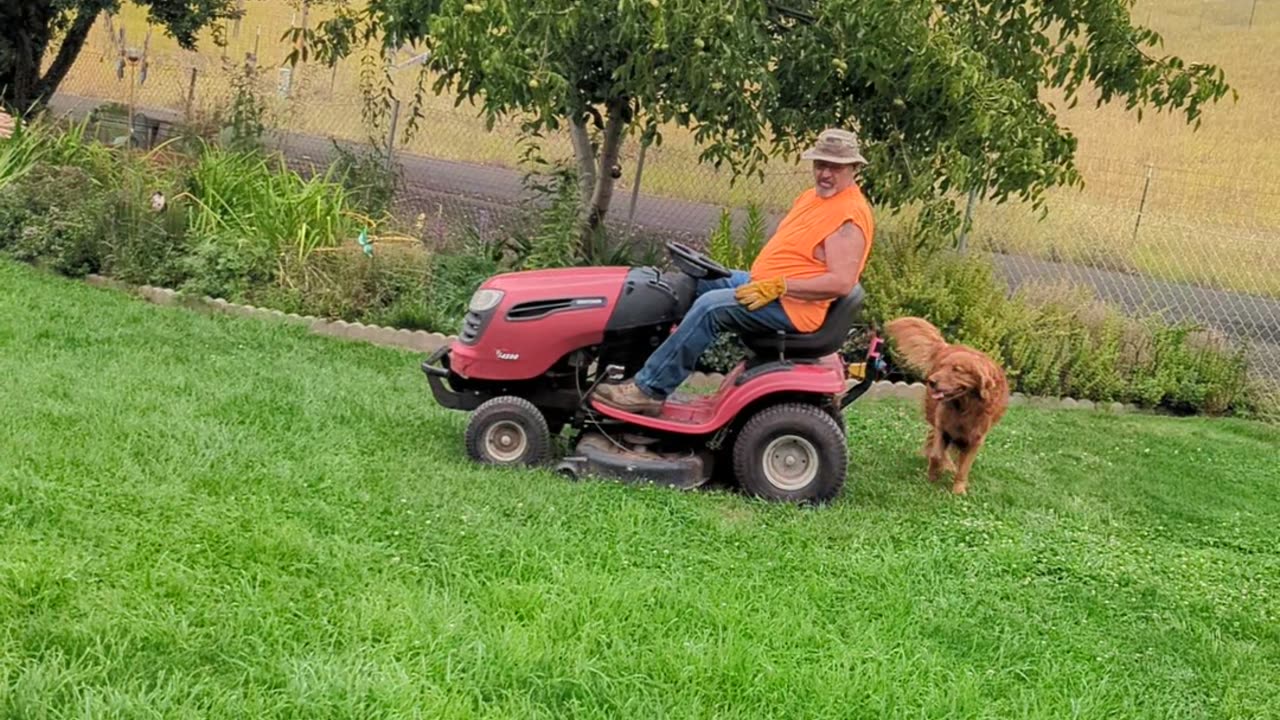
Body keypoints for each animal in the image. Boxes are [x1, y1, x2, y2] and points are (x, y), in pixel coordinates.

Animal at [880, 315, 1008, 491]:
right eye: (941, 366)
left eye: (957, 370)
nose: (931, 381)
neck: (964, 407)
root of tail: (947, 346)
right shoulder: (943, 426)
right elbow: (937, 454)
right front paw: (933, 476)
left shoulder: (976, 439)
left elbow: (964, 468)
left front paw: (958, 490)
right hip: (933, 412)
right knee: (933, 438)